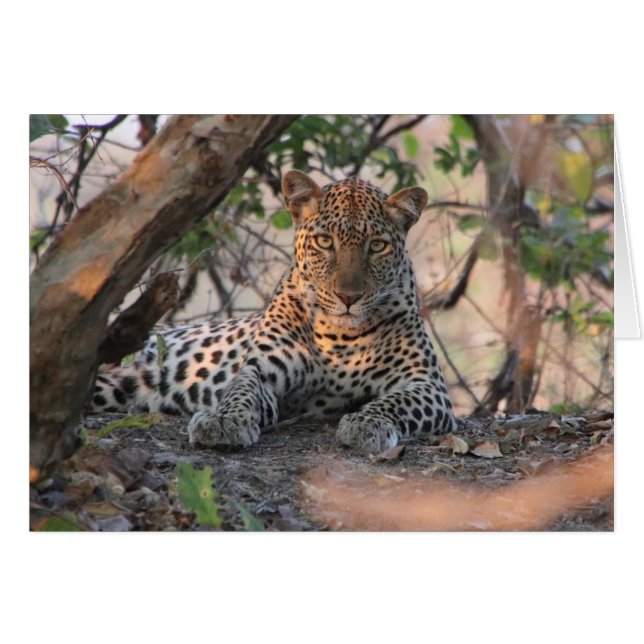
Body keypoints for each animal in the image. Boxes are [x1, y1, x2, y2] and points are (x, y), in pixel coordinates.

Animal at [91, 170, 457, 453]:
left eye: (377, 246)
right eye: (325, 241)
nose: (348, 297)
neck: (339, 336)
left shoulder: (426, 383)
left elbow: (394, 402)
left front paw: (366, 424)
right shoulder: (261, 368)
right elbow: (240, 392)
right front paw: (223, 421)